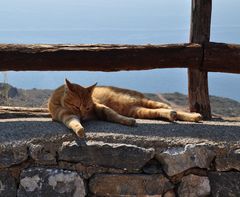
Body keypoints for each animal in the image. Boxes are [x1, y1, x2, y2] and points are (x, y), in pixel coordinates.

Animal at [47, 79, 202, 138]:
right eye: (76, 106)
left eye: (87, 107)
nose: (84, 116)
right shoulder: (66, 115)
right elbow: (73, 123)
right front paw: (80, 130)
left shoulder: (98, 107)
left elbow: (112, 114)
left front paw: (126, 121)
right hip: (138, 110)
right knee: (159, 112)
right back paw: (173, 115)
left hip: (143, 102)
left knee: (164, 106)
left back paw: (192, 115)